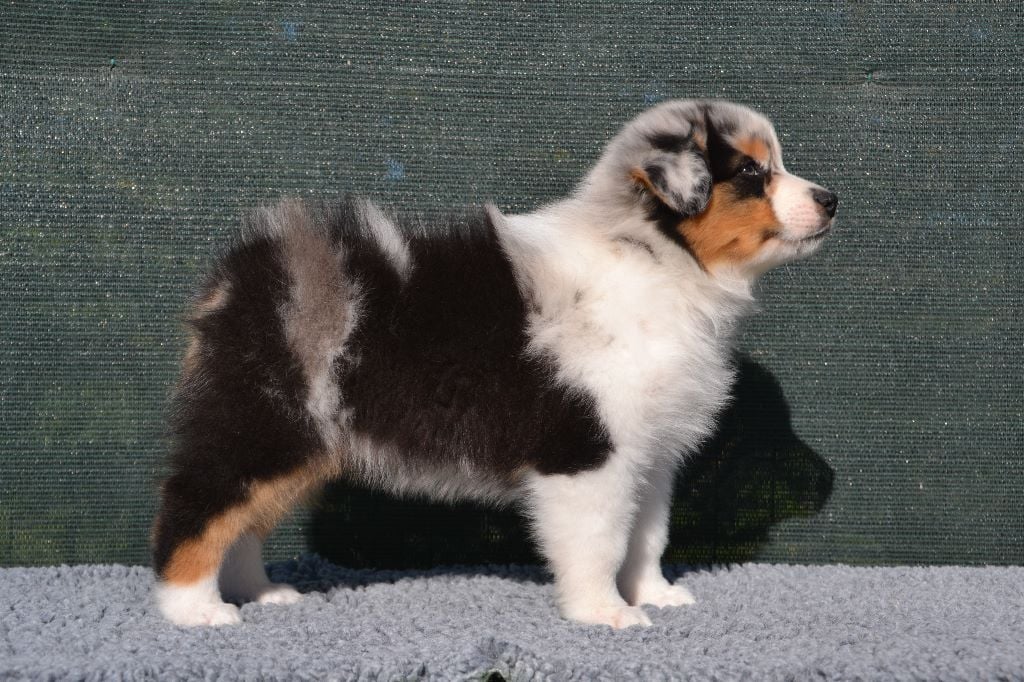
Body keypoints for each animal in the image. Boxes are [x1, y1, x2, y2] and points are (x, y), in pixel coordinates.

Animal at [152, 99, 836, 629]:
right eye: (751, 171)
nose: (832, 198)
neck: (655, 258)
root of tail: (241, 279)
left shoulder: (651, 453)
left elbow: (648, 536)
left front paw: (657, 597)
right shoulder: (587, 451)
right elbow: (601, 541)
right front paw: (605, 614)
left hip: (301, 440)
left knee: (244, 520)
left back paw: (259, 592)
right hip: (263, 424)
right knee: (199, 504)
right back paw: (194, 610)